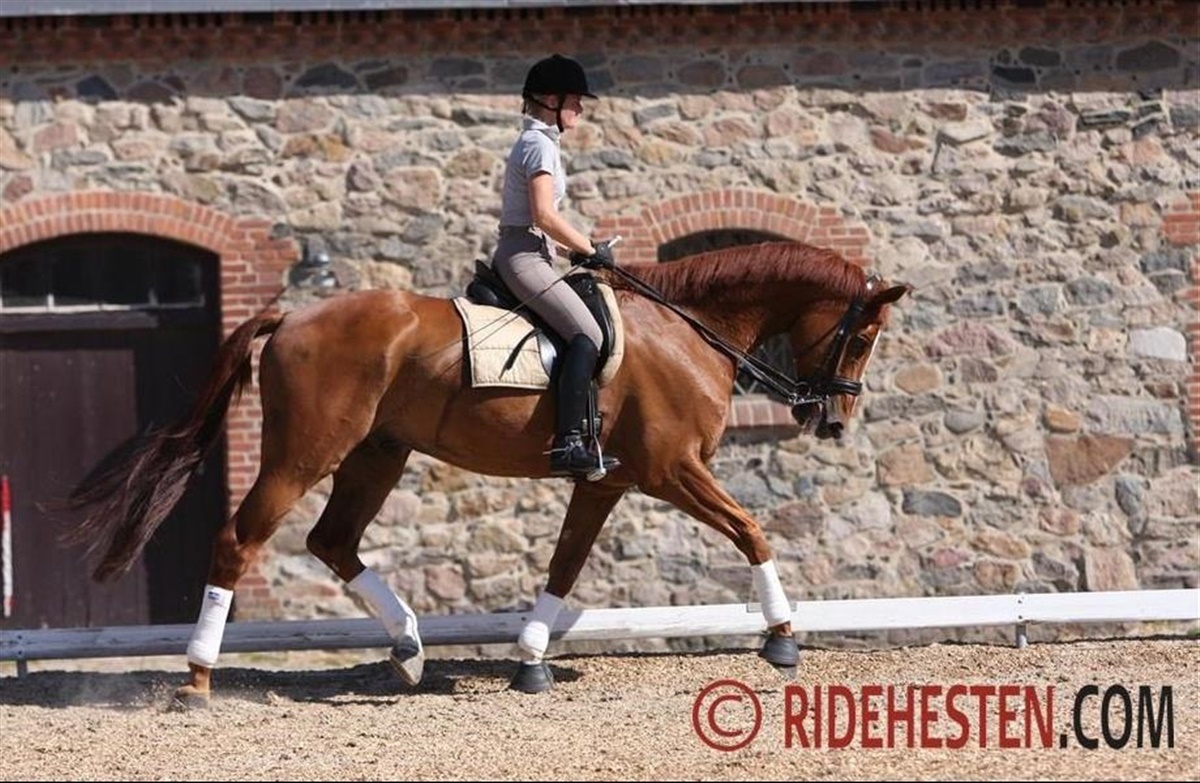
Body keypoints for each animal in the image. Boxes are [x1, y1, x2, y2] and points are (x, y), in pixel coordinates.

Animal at [65, 240, 910, 706]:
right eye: (865, 335)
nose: (834, 420)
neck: (687, 329)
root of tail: (294, 313)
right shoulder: (673, 468)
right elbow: (752, 529)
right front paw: (783, 638)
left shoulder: (606, 479)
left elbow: (566, 564)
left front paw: (531, 656)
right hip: (307, 450)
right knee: (240, 540)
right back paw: (198, 677)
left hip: (377, 453)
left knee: (334, 542)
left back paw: (409, 647)